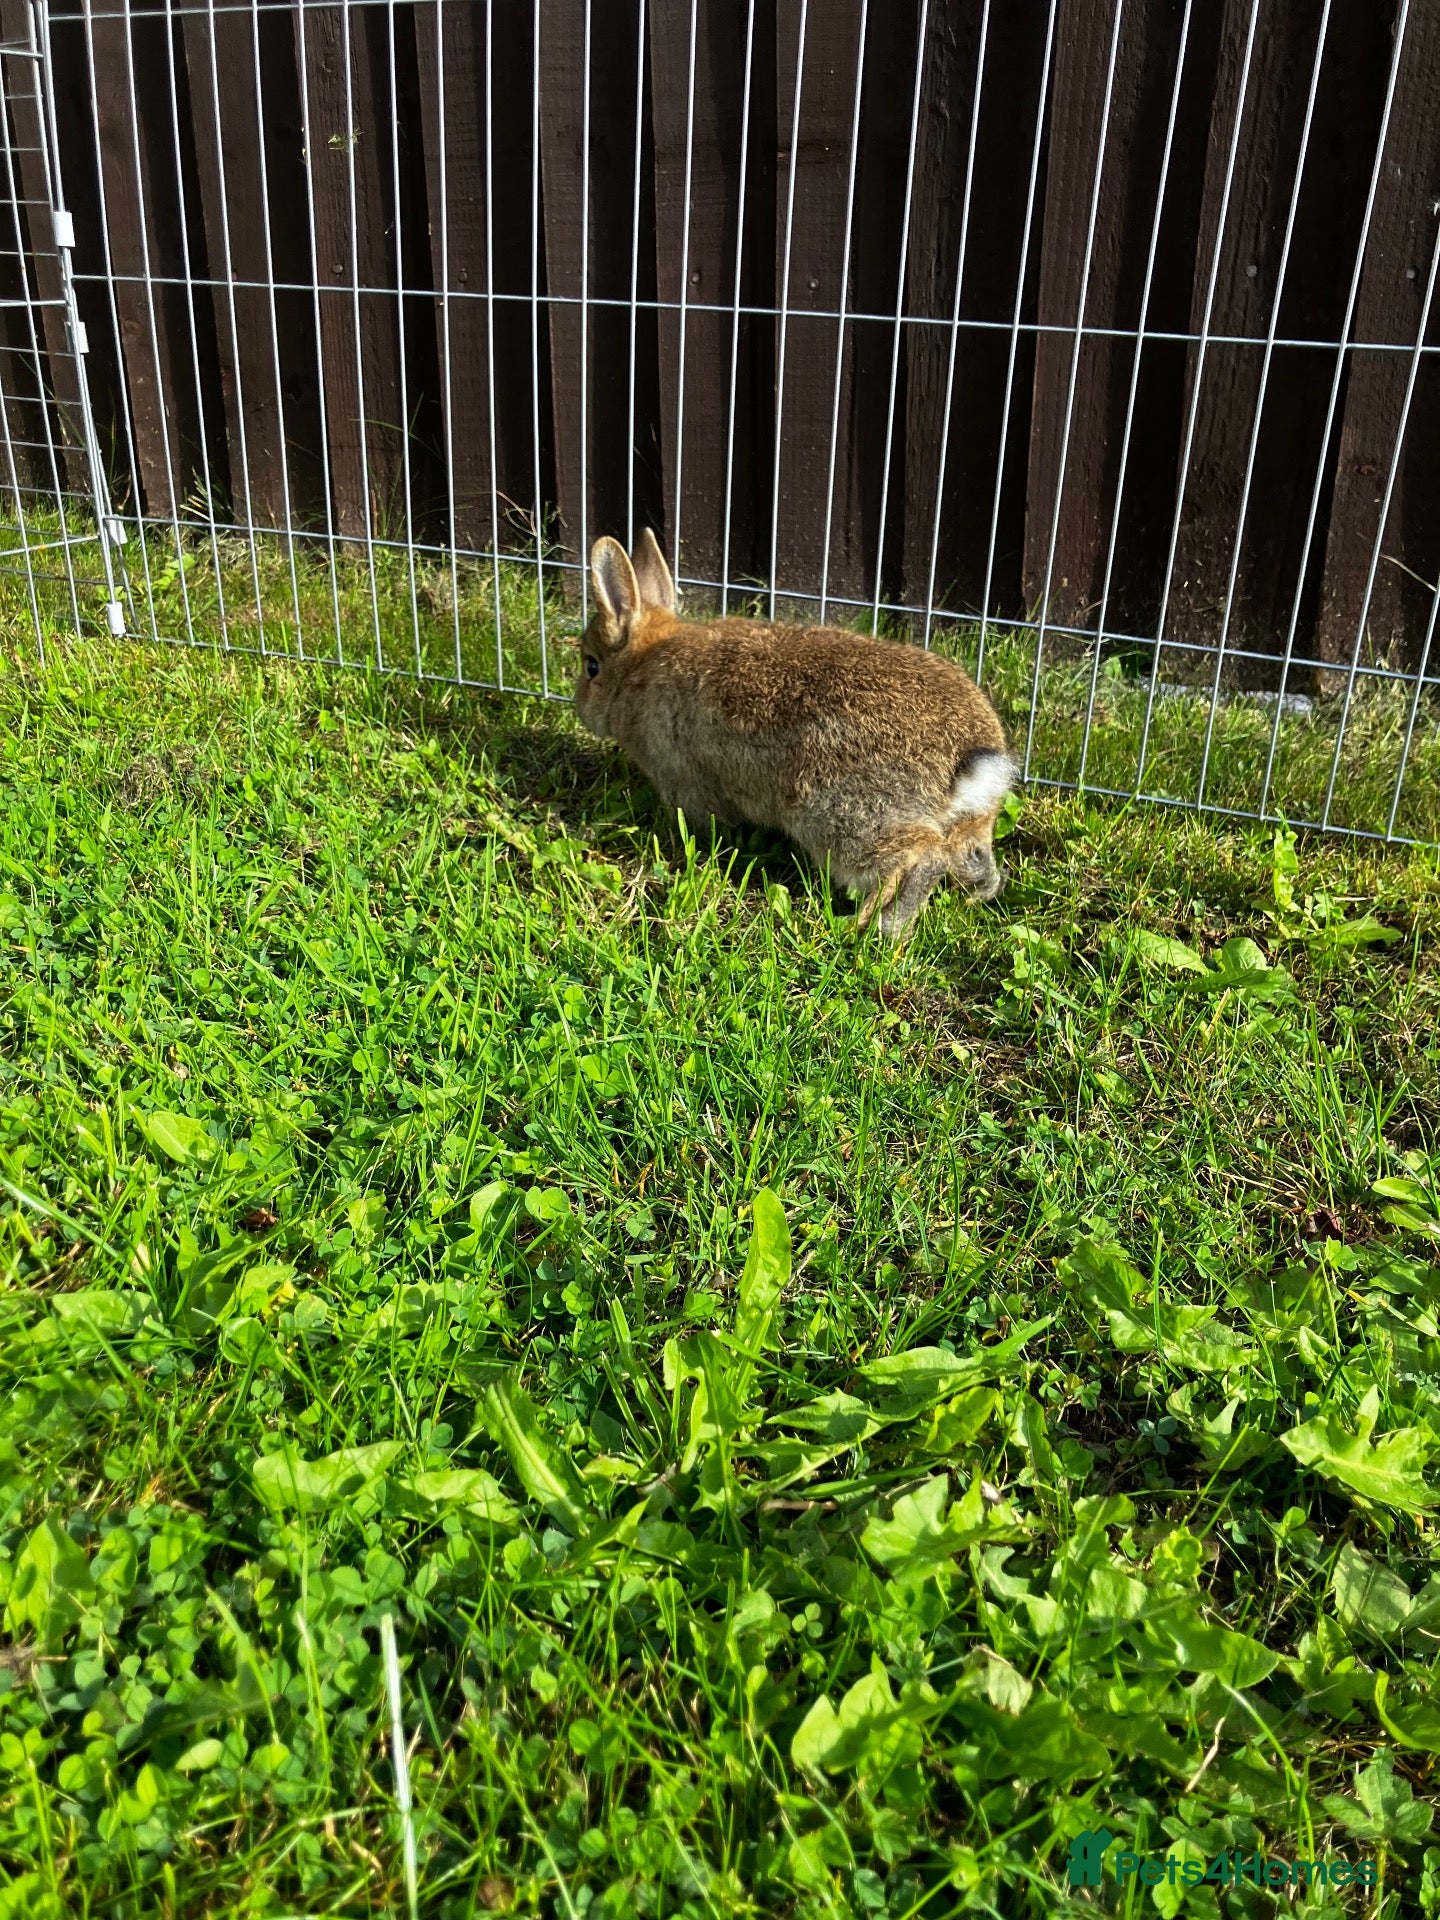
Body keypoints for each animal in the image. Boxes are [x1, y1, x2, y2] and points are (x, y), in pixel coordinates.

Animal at [574, 529, 1015, 937]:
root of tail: (971, 759)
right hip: (965, 826)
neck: (639, 667)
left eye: (591, 666)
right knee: (972, 860)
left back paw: (873, 925)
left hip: (836, 812)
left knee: (919, 856)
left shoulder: (685, 781)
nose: (580, 706)